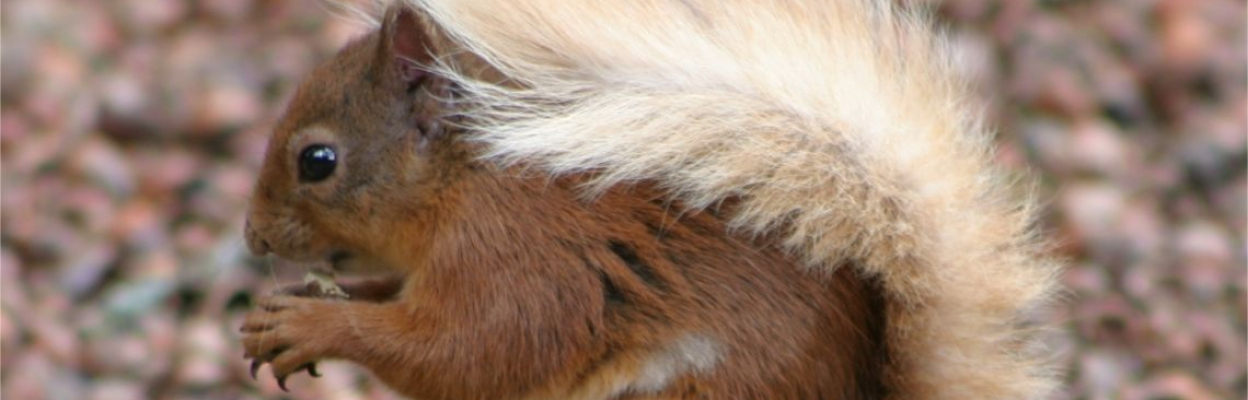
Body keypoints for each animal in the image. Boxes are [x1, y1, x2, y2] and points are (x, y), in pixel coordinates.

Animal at [242, 1, 1061, 400]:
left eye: (318, 161)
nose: (252, 239)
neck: (465, 184)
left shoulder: (518, 264)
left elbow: (461, 355)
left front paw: (312, 325)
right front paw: (308, 302)